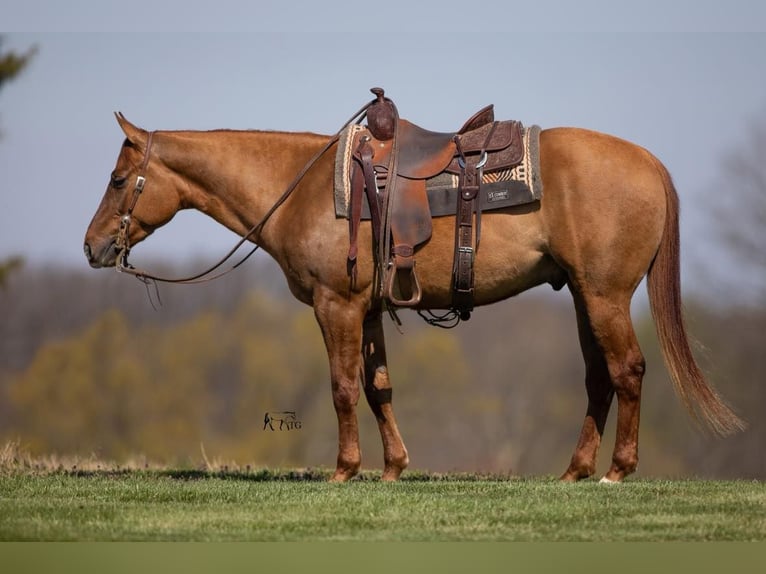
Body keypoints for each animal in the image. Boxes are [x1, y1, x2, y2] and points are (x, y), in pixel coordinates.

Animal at [84, 106, 744, 484]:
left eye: (117, 180)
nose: (92, 247)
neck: (301, 188)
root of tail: (649, 163)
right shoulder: (368, 309)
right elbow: (379, 387)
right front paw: (393, 468)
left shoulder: (336, 305)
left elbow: (343, 387)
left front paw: (345, 471)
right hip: (585, 297)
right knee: (600, 378)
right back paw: (576, 471)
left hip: (605, 296)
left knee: (627, 370)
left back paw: (617, 472)